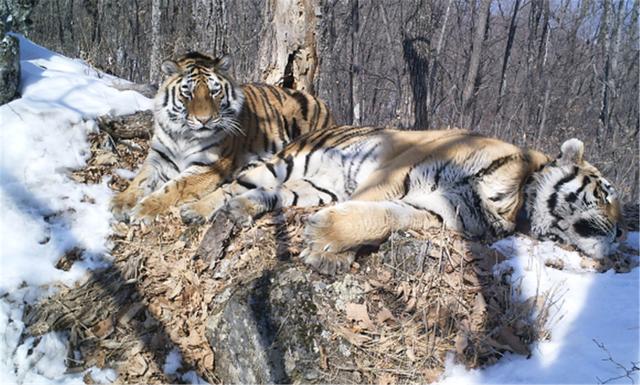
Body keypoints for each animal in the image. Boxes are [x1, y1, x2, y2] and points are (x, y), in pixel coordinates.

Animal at [112, 51, 336, 220]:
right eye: (188, 93)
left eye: (214, 92)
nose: (204, 120)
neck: (183, 136)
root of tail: (322, 103)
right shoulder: (159, 157)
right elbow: (140, 179)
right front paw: (120, 203)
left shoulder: (209, 165)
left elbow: (175, 186)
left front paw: (145, 209)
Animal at [188, 125, 624, 272]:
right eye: (606, 192)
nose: (622, 234)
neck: (515, 199)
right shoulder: (394, 173)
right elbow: (365, 206)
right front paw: (330, 249)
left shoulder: (435, 210)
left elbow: (381, 218)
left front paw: (328, 249)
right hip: (287, 162)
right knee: (231, 185)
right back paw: (195, 210)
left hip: (313, 186)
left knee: (264, 195)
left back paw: (240, 210)